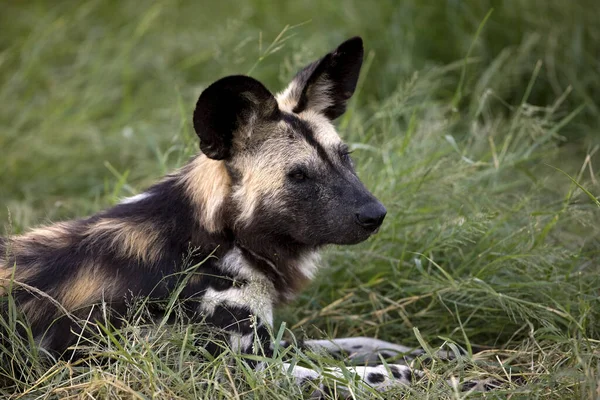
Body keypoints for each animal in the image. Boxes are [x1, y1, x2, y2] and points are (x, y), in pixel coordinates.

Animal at [0, 37, 482, 394]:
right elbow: (372, 375)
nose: (375, 215)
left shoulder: (269, 342)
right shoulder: (244, 368)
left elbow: (359, 345)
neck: (219, 238)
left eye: (345, 157)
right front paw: (451, 379)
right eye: (299, 175)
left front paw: (439, 353)